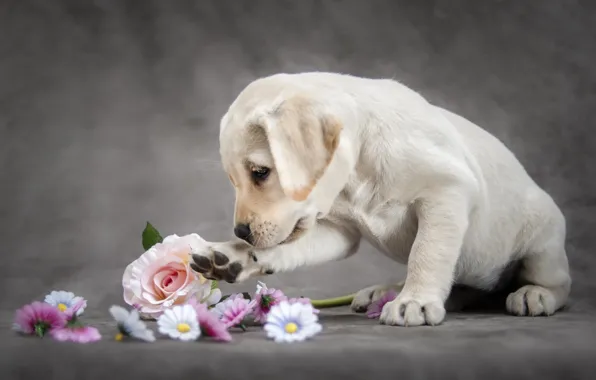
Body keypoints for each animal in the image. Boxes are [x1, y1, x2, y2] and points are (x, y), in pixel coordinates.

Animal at [191, 72, 572, 326]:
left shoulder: (447, 191)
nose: (240, 232)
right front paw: (233, 256)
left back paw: (534, 294)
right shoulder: (339, 232)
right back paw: (387, 290)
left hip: (542, 239)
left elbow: (427, 253)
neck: (359, 168)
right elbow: (286, 248)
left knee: (559, 283)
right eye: (235, 180)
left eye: (260, 173)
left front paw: (415, 301)